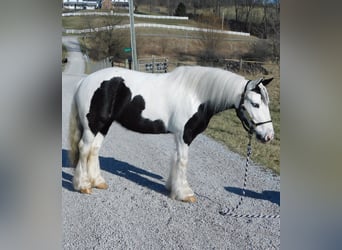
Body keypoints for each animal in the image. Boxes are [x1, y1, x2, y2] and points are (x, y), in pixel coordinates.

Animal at [68, 65, 274, 202]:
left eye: (267, 103)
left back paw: (98, 182)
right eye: (255, 104)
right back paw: (83, 186)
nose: (269, 136)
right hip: (93, 125)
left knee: (94, 150)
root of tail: (84, 82)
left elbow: (175, 159)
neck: (197, 95)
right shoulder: (184, 135)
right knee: (84, 149)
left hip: (104, 125)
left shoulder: (178, 136)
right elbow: (182, 161)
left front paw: (172, 187)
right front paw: (185, 193)